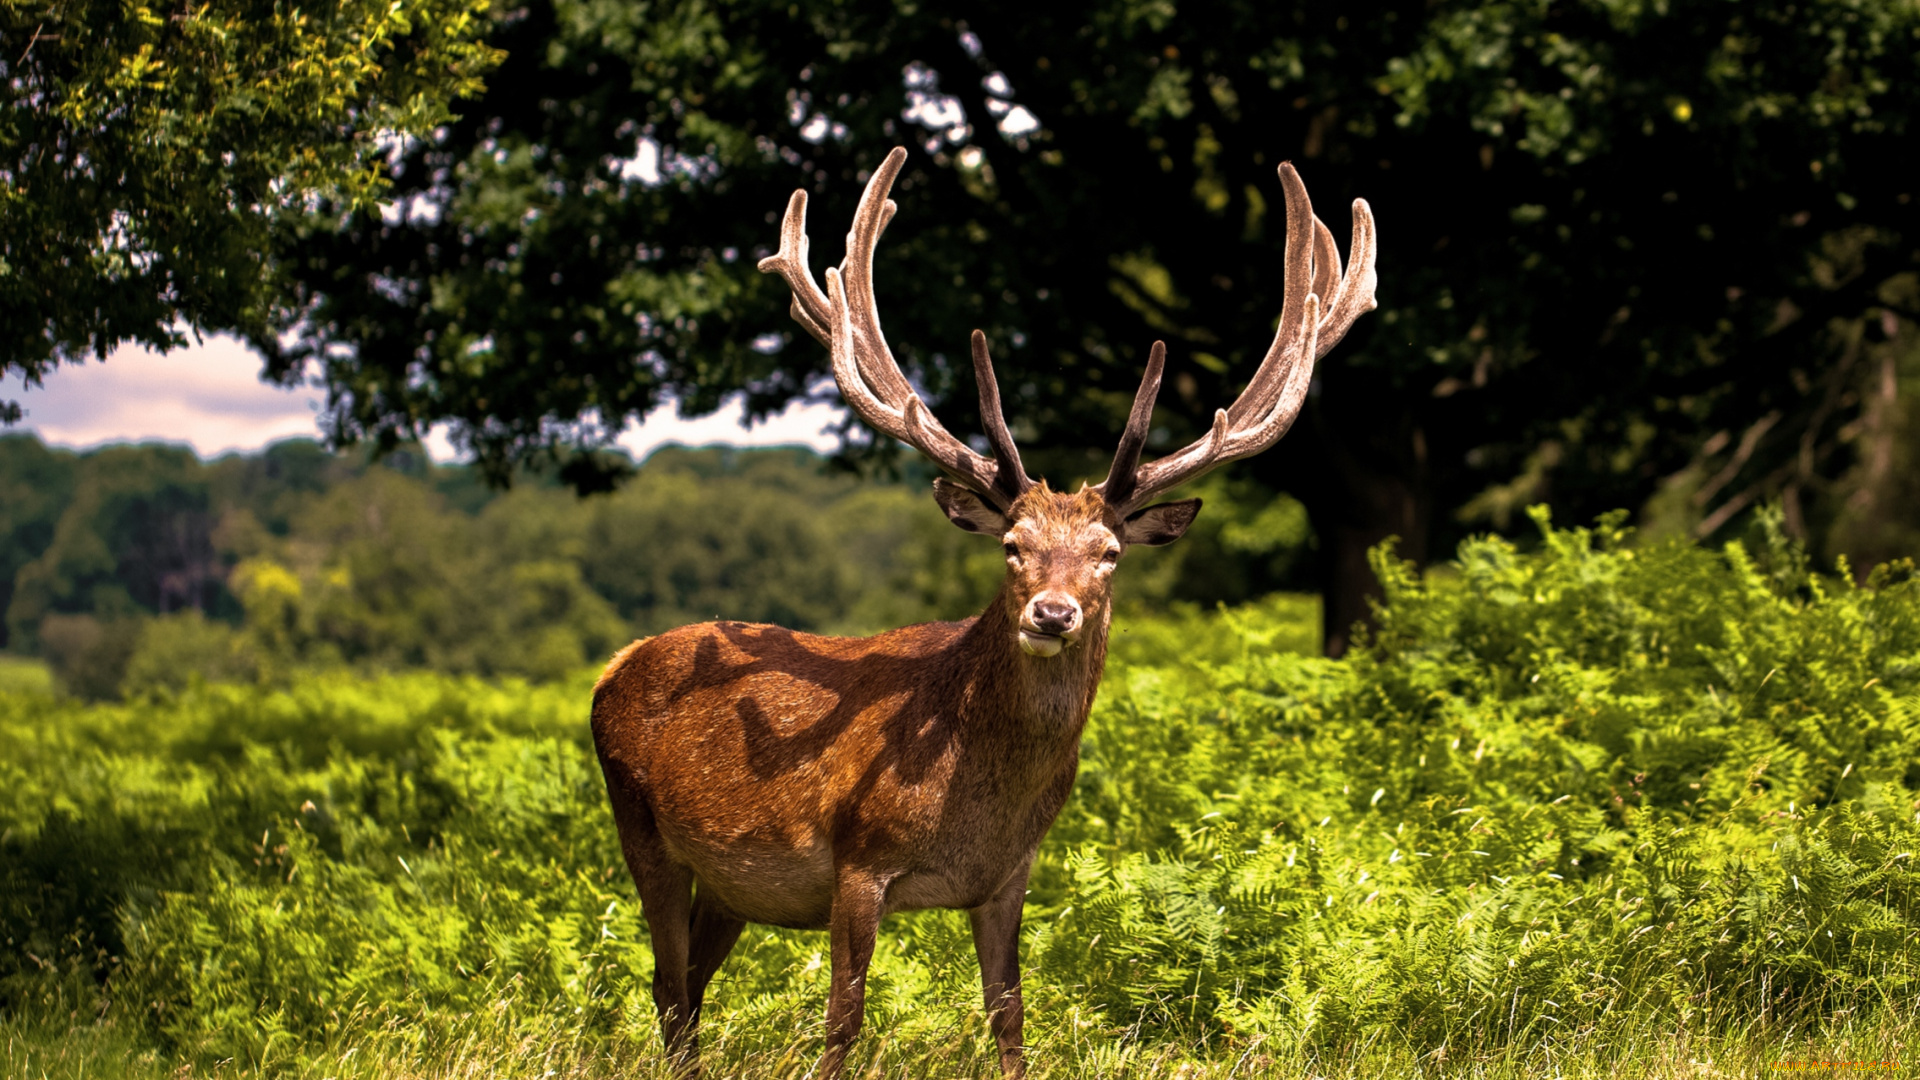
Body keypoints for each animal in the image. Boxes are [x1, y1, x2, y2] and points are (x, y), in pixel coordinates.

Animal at [591, 145, 1374, 1076]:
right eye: (1012, 545)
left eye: (1109, 554)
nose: (1053, 613)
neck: (974, 802)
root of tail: (613, 666)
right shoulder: (859, 861)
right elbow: (843, 1025)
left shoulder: (1009, 875)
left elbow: (1010, 1020)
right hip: (641, 827)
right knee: (667, 985)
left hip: (730, 885)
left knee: (686, 990)